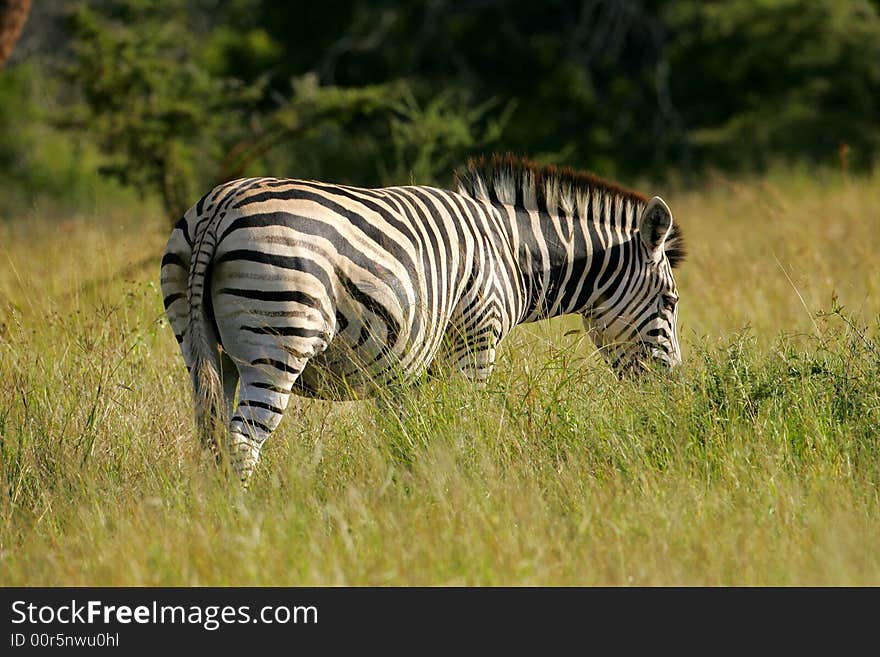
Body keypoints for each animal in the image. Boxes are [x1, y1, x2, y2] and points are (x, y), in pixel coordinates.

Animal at [160, 154, 688, 482]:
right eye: (670, 302)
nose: (672, 392)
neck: (510, 253)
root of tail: (220, 205)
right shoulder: (476, 339)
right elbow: (467, 423)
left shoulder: (403, 368)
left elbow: (407, 438)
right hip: (277, 344)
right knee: (241, 442)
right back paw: (249, 521)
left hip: (204, 348)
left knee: (212, 436)